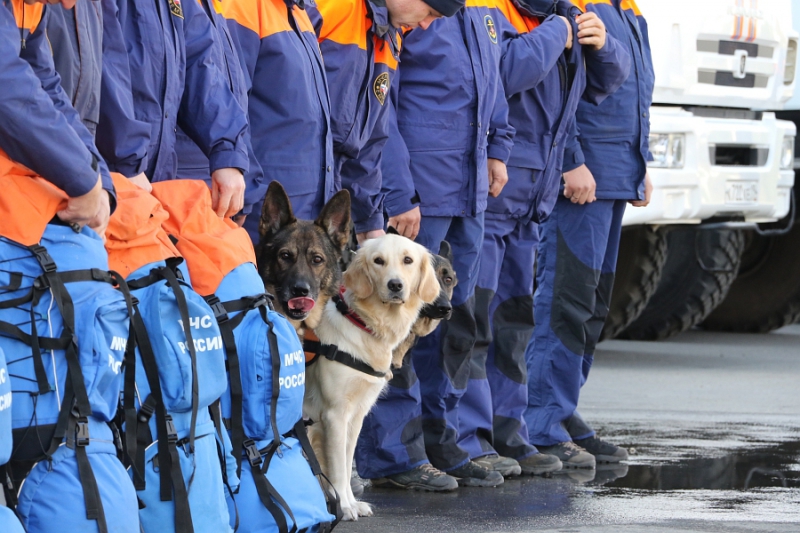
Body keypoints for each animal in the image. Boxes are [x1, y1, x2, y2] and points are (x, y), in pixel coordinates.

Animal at [304, 234, 438, 520]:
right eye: (378, 261)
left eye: (408, 260)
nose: (395, 285)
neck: (362, 323)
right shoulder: (334, 413)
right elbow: (338, 467)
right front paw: (344, 507)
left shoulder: (356, 414)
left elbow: (345, 463)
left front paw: (352, 503)